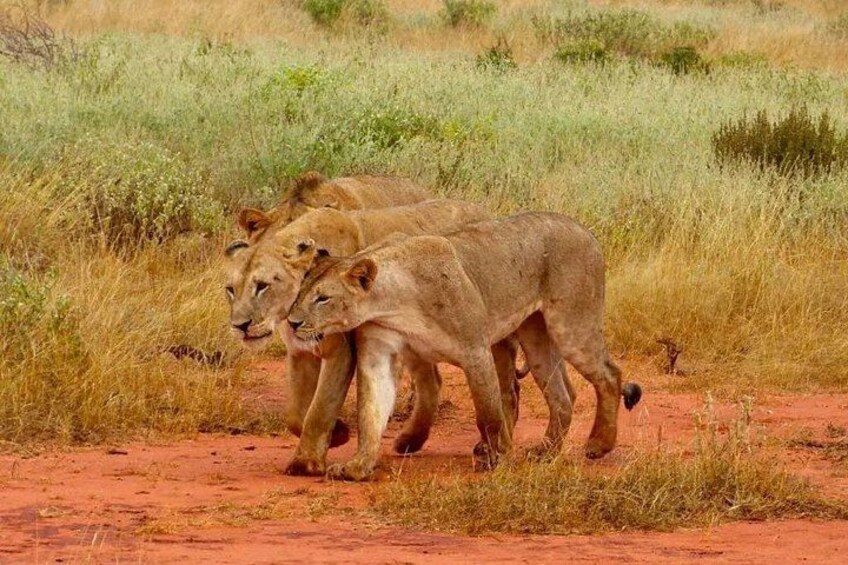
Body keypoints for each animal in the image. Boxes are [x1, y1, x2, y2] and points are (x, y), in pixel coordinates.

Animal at [224, 199, 530, 476]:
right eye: (230, 289)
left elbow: (319, 408)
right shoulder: (300, 352)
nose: (240, 325)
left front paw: (308, 462)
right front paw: (335, 436)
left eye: (262, 286)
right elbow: (296, 414)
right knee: (432, 382)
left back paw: (495, 444)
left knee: (505, 386)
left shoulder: (342, 350)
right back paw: (411, 441)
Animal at [287, 211, 635, 481]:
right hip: (535, 336)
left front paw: (496, 458)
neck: (394, 302)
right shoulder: (378, 353)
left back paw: (598, 445)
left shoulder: (475, 349)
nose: (292, 322)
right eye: (300, 292)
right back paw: (545, 452)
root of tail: (584, 229)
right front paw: (358, 466)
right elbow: (371, 412)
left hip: (571, 326)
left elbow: (488, 413)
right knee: (563, 394)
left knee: (609, 375)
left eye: (323, 298)